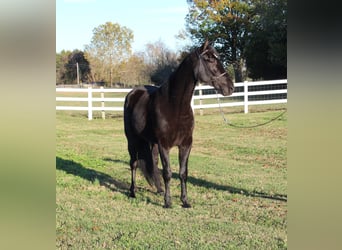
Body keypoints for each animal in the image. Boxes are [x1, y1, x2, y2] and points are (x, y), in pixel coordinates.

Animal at [123, 41, 235, 208]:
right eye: (209, 59)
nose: (230, 87)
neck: (174, 105)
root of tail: (133, 93)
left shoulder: (186, 144)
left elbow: (183, 173)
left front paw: (185, 201)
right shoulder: (164, 145)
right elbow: (168, 172)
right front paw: (168, 202)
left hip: (151, 142)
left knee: (153, 164)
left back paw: (159, 190)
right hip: (132, 140)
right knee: (134, 163)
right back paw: (132, 192)